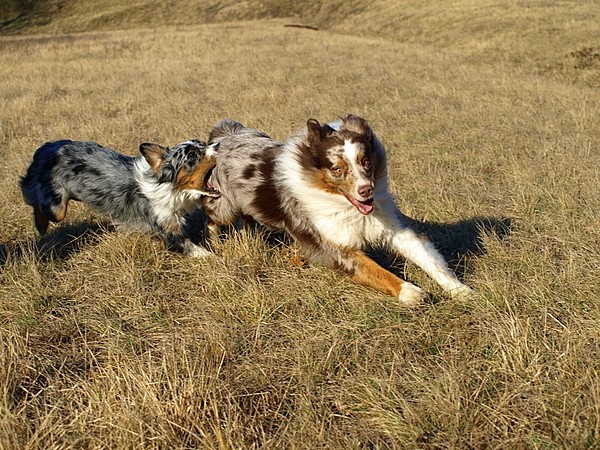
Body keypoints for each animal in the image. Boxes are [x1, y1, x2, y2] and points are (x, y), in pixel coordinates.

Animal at [18, 140, 221, 256]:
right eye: (193, 155)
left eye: (202, 143)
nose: (218, 145)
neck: (167, 188)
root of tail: (45, 148)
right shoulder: (168, 230)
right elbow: (195, 249)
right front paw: (214, 259)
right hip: (56, 206)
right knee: (35, 201)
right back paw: (41, 226)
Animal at [204, 115, 476, 306]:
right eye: (337, 169)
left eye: (366, 162)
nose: (366, 190)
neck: (344, 205)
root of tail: (226, 132)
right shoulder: (336, 247)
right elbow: (377, 271)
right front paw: (410, 292)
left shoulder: (393, 228)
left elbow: (430, 260)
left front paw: (461, 290)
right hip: (223, 206)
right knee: (212, 219)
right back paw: (214, 245)